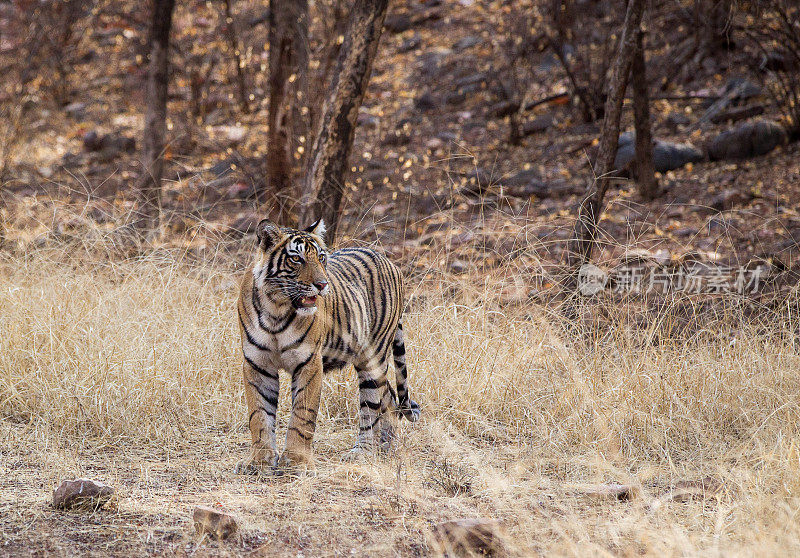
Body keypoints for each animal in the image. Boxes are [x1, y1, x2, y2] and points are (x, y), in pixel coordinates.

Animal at [234, 221, 422, 474]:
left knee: (372, 406)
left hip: (373, 359)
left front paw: (296, 461)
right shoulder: (257, 364)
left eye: (321, 258)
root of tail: (390, 261)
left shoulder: (309, 362)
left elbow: (302, 414)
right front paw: (260, 461)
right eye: (297, 259)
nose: (322, 285)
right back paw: (387, 448)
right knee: (390, 397)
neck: (276, 308)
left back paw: (363, 452)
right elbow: (259, 414)